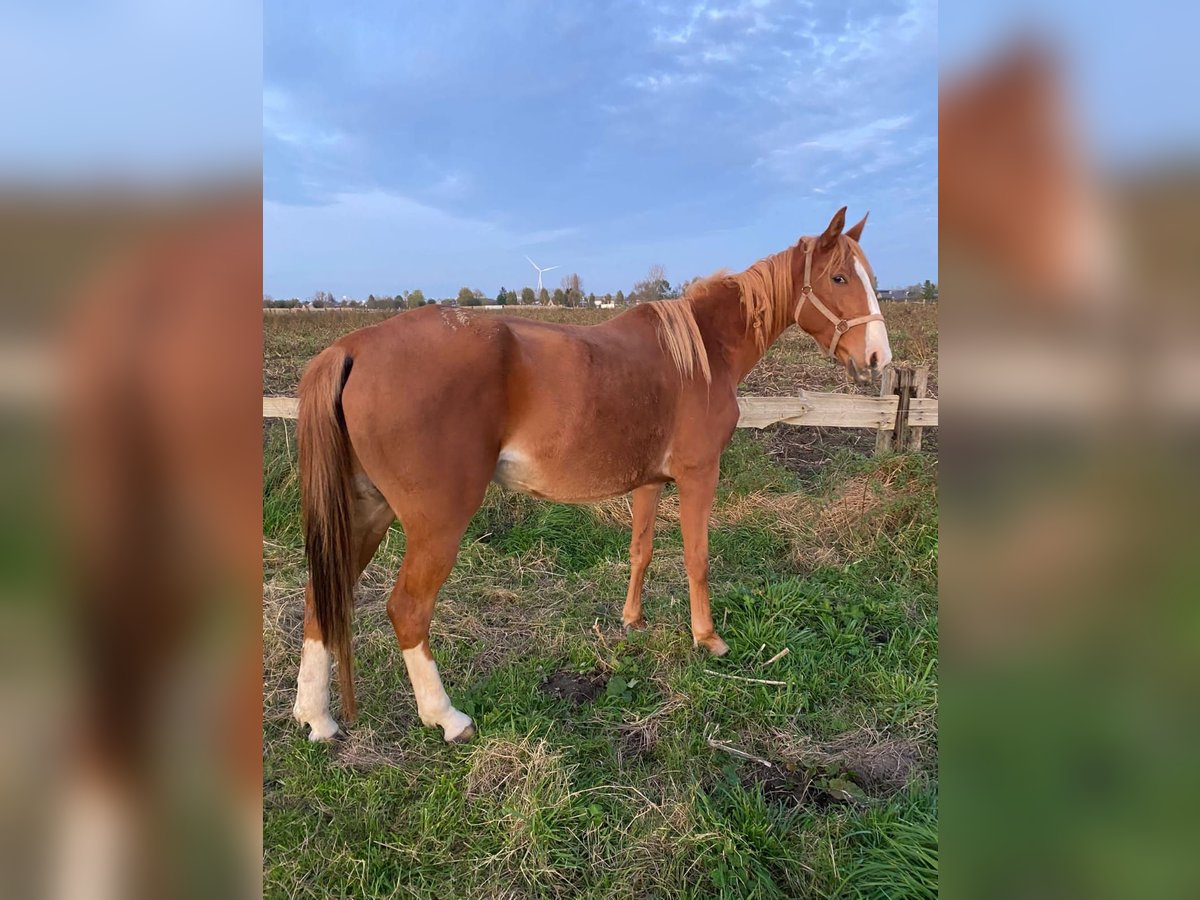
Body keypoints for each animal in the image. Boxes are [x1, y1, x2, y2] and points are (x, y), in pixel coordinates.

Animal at [290, 207, 892, 744]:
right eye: (839, 277)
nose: (878, 357)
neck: (702, 349)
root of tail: (354, 346)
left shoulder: (649, 483)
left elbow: (641, 550)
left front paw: (633, 622)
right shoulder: (699, 475)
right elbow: (697, 558)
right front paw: (708, 639)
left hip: (366, 510)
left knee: (322, 595)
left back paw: (316, 717)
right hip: (435, 524)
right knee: (408, 611)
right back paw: (446, 717)